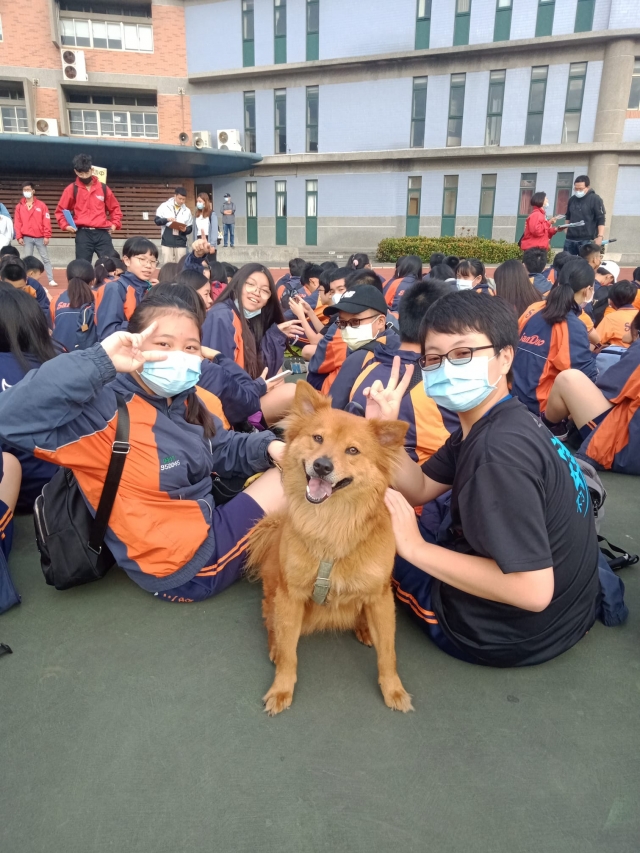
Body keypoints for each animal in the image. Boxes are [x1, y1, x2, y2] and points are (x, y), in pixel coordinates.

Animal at [248, 380, 412, 712]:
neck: (331, 525)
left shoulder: (380, 596)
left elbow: (388, 652)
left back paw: (364, 629)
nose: (322, 466)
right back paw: (274, 646)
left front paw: (393, 689)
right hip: (274, 593)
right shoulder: (291, 595)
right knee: (272, 624)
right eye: (318, 438)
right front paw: (282, 688)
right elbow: (289, 652)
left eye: (353, 450)